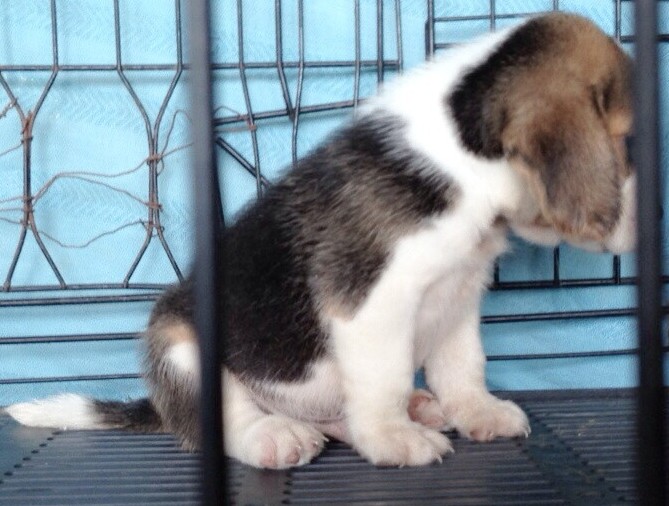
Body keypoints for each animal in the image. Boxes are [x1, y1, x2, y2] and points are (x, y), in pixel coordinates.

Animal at [6, 13, 636, 469]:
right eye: (630, 143)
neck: (459, 148)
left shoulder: (458, 297)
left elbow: (463, 366)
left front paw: (477, 412)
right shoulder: (373, 307)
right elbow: (382, 379)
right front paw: (393, 439)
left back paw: (411, 408)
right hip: (181, 345)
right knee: (227, 422)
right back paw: (276, 435)